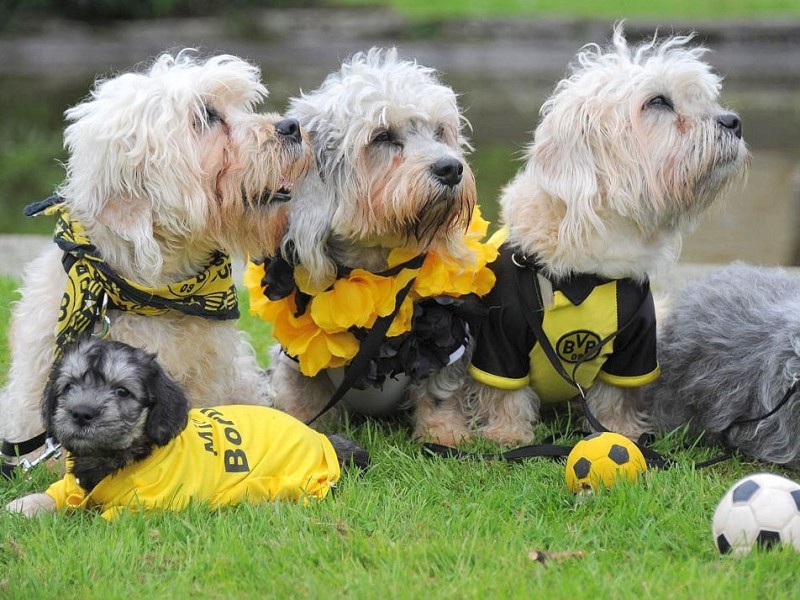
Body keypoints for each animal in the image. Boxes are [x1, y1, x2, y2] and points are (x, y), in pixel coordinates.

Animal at [245, 49, 494, 440]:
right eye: (383, 137)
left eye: (440, 132)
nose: (452, 169)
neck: (375, 268)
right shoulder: (295, 361)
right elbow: (304, 401)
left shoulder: (448, 344)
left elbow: (438, 393)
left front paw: (445, 435)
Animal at [456, 25, 752, 442]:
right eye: (658, 102)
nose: (734, 121)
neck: (591, 264)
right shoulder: (501, 339)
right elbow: (505, 395)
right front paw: (508, 434)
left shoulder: (635, 346)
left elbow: (615, 397)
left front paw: (619, 432)